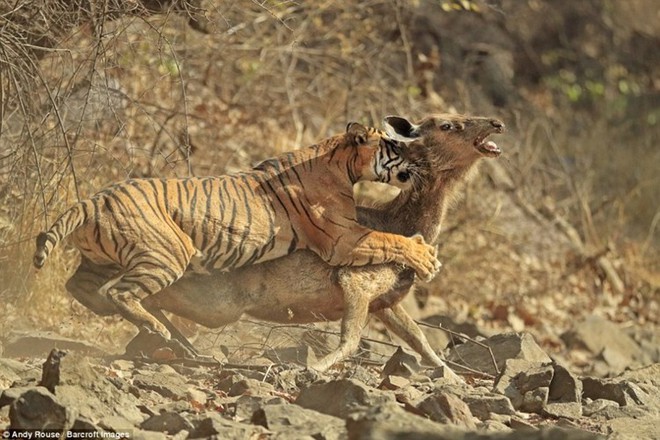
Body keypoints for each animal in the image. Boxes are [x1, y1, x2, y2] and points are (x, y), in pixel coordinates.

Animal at [33, 124, 440, 340]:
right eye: (395, 146)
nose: (424, 160)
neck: (343, 164)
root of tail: (94, 199)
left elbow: (389, 240)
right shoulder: (343, 239)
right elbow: (391, 240)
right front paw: (426, 258)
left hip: (100, 259)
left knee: (80, 287)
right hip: (169, 252)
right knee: (120, 292)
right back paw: (156, 329)